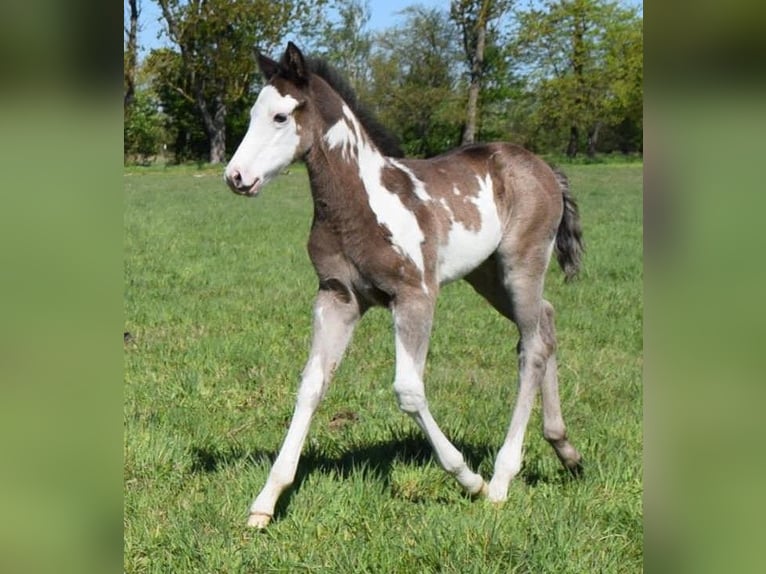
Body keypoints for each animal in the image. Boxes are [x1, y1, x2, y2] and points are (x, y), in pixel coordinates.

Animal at [224, 42, 584, 529]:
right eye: (250, 115)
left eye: (280, 116)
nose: (236, 177)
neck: (359, 206)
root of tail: (543, 167)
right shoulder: (337, 297)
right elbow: (311, 385)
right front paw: (266, 501)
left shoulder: (415, 296)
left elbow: (408, 391)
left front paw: (469, 479)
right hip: (487, 275)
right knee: (545, 323)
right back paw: (566, 450)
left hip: (521, 265)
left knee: (532, 349)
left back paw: (501, 480)